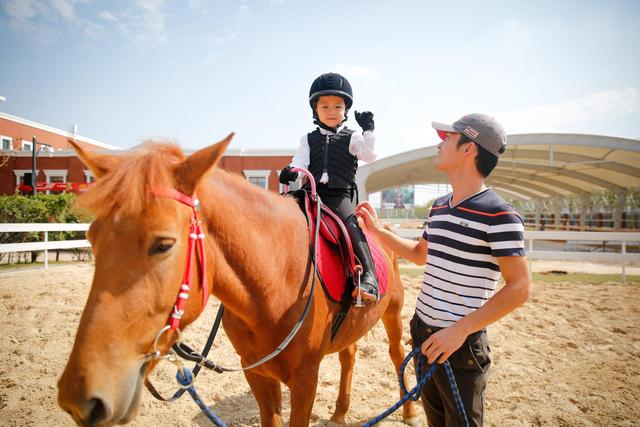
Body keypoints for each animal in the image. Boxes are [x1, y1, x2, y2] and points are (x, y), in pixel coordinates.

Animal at [56, 135, 420, 427]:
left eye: (164, 244)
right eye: (91, 237)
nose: (81, 396)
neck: (275, 283)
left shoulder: (305, 378)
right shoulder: (256, 373)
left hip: (393, 313)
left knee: (396, 353)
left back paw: (409, 412)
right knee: (349, 355)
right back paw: (341, 413)